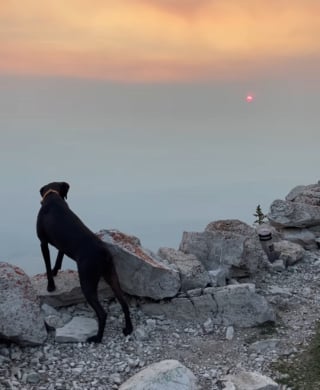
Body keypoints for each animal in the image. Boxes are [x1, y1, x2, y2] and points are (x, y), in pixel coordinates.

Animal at [36, 182, 132, 342]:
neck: (53, 196)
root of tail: (103, 252)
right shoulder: (61, 244)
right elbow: (59, 258)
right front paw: (56, 271)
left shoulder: (43, 243)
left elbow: (48, 266)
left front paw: (51, 285)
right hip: (111, 275)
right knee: (124, 303)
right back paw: (128, 329)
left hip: (87, 281)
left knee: (102, 313)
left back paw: (97, 338)